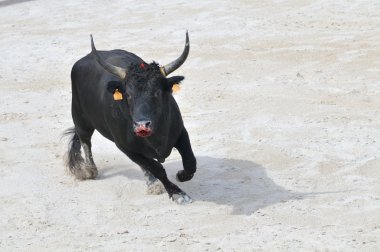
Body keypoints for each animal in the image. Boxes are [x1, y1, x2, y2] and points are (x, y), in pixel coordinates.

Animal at [64, 32, 196, 204]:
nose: (142, 125)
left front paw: (181, 175)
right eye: (128, 95)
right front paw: (177, 193)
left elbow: (190, 162)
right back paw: (90, 171)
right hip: (80, 119)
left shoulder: (180, 131)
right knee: (85, 141)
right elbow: (157, 168)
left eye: (157, 93)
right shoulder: (126, 147)